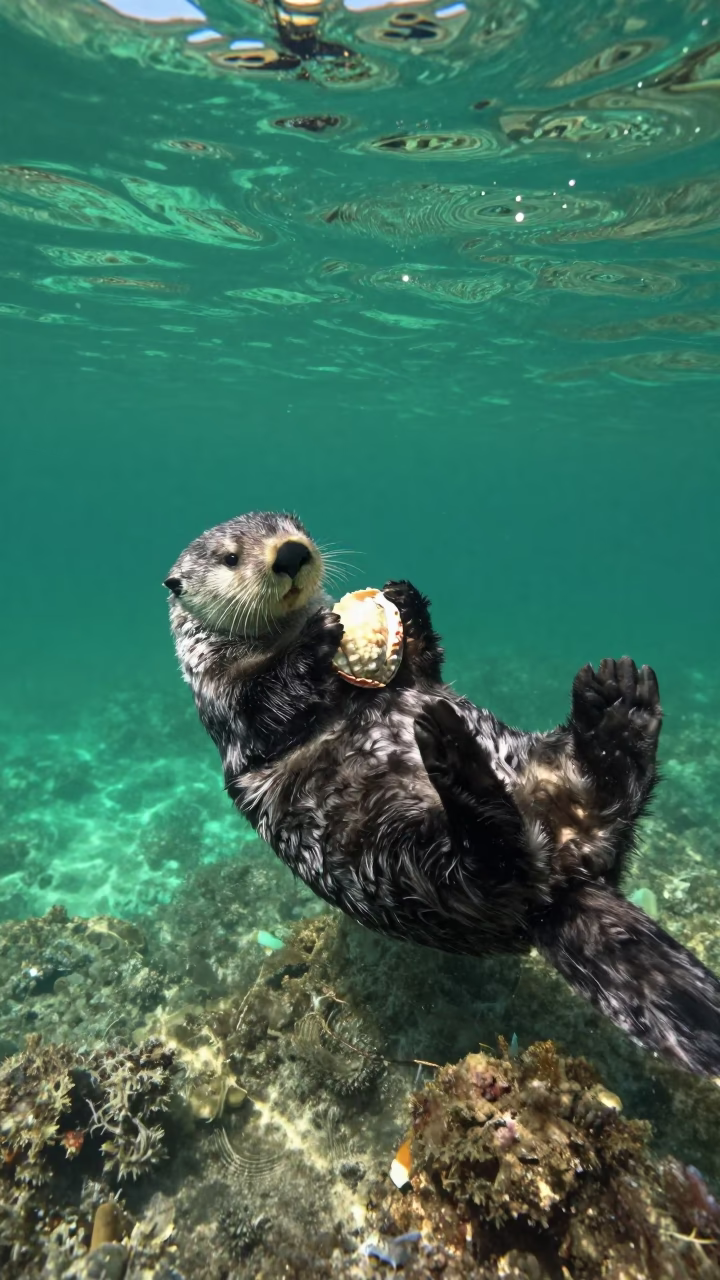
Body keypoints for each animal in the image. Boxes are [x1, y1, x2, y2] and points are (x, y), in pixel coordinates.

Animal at [164, 510, 720, 1078]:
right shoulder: (227, 708)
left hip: (545, 767)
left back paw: (619, 704)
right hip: (411, 858)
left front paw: (404, 598)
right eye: (231, 557)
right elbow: (270, 705)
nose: (292, 553)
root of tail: (566, 884)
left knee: (613, 793)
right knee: (494, 854)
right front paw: (319, 638)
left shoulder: (414, 675)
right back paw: (454, 759)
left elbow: (423, 667)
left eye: (294, 525)